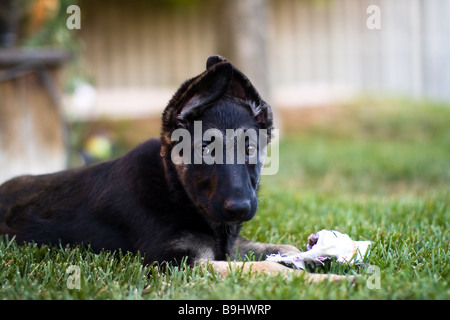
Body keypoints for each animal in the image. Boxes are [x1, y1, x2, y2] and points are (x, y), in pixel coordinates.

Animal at [0, 56, 348, 282]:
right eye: (205, 150)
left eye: (250, 149)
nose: (239, 208)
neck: (176, 192)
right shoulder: (177, 262)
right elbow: (269, 268)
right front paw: (332, 281)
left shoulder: (230, 248)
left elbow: (285, 249)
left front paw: (325, 260)